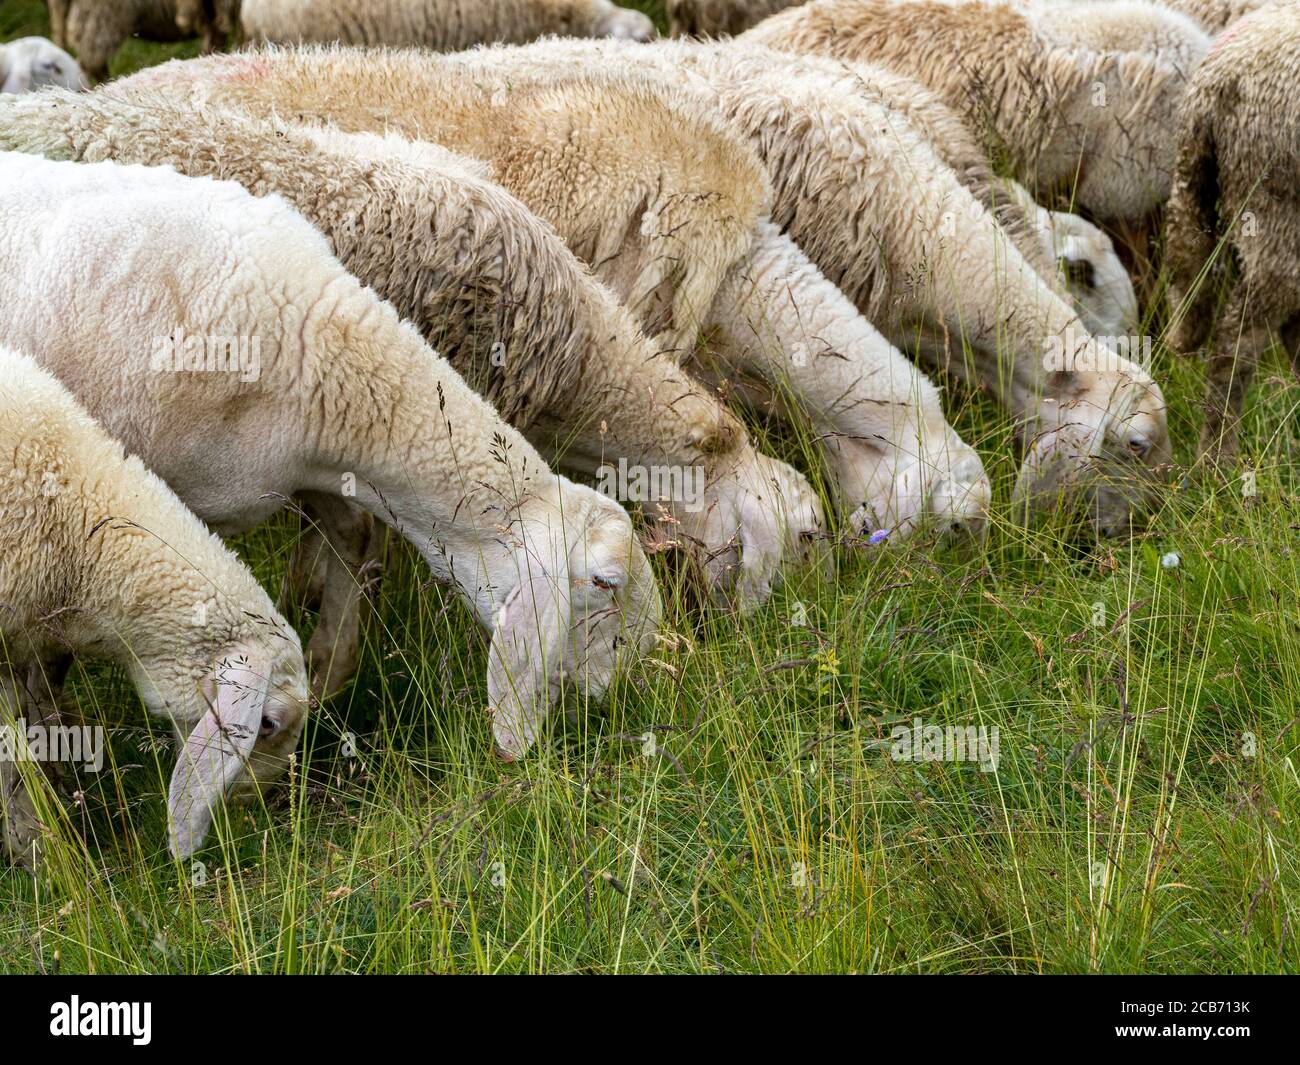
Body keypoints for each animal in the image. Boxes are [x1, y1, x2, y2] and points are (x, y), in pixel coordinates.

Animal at [0, 151, 662, 760]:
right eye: (604, 583)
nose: (623, 695)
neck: (308, 334)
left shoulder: (311, 472)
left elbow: (353, 541)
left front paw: (328, 671)